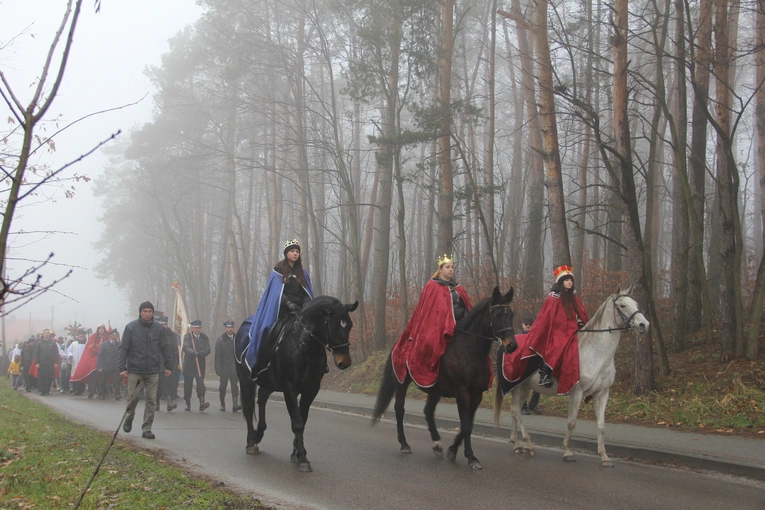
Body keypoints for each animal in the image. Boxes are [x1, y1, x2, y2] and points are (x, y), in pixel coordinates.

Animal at [236, 296, 358, 472]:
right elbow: (298, 422)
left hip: (269, 381)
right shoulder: (289, 387)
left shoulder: (311, 389)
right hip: (245, 379)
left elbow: (303, 419)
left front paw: (296, 452)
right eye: (332, 325)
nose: (345, 362)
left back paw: (259, 432)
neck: (304, 345)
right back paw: (251, 442)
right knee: (248, 408)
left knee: (262, 398)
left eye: (349, 325)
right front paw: (302, 457)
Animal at [372, 286, 516, 470]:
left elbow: (468, 424)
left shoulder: (477, 395)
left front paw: (453, 449)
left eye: (511, 314)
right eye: (497, 315)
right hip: (401, 383)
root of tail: (398, 344)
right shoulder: (462, 393)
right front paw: (471, 457)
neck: (469, 351)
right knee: (399, 409)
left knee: (428, 411)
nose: (512, 346)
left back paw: (437, 444)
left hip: (434, 389)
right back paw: (404, 444)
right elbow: (466, 424)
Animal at [492, 284, 648, 468]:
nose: (644, 324)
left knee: (514, 411)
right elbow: (571, 422)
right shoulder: (577, 392)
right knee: (516, 411)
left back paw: (516, 444)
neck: (596, 354)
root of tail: (506, 344)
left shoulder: (602, 393)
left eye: (636, 303)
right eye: (623, 305)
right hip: (516, 386)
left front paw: (604, 457)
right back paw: (525, 444)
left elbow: (601, 425)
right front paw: (568, 452)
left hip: (523, 387)